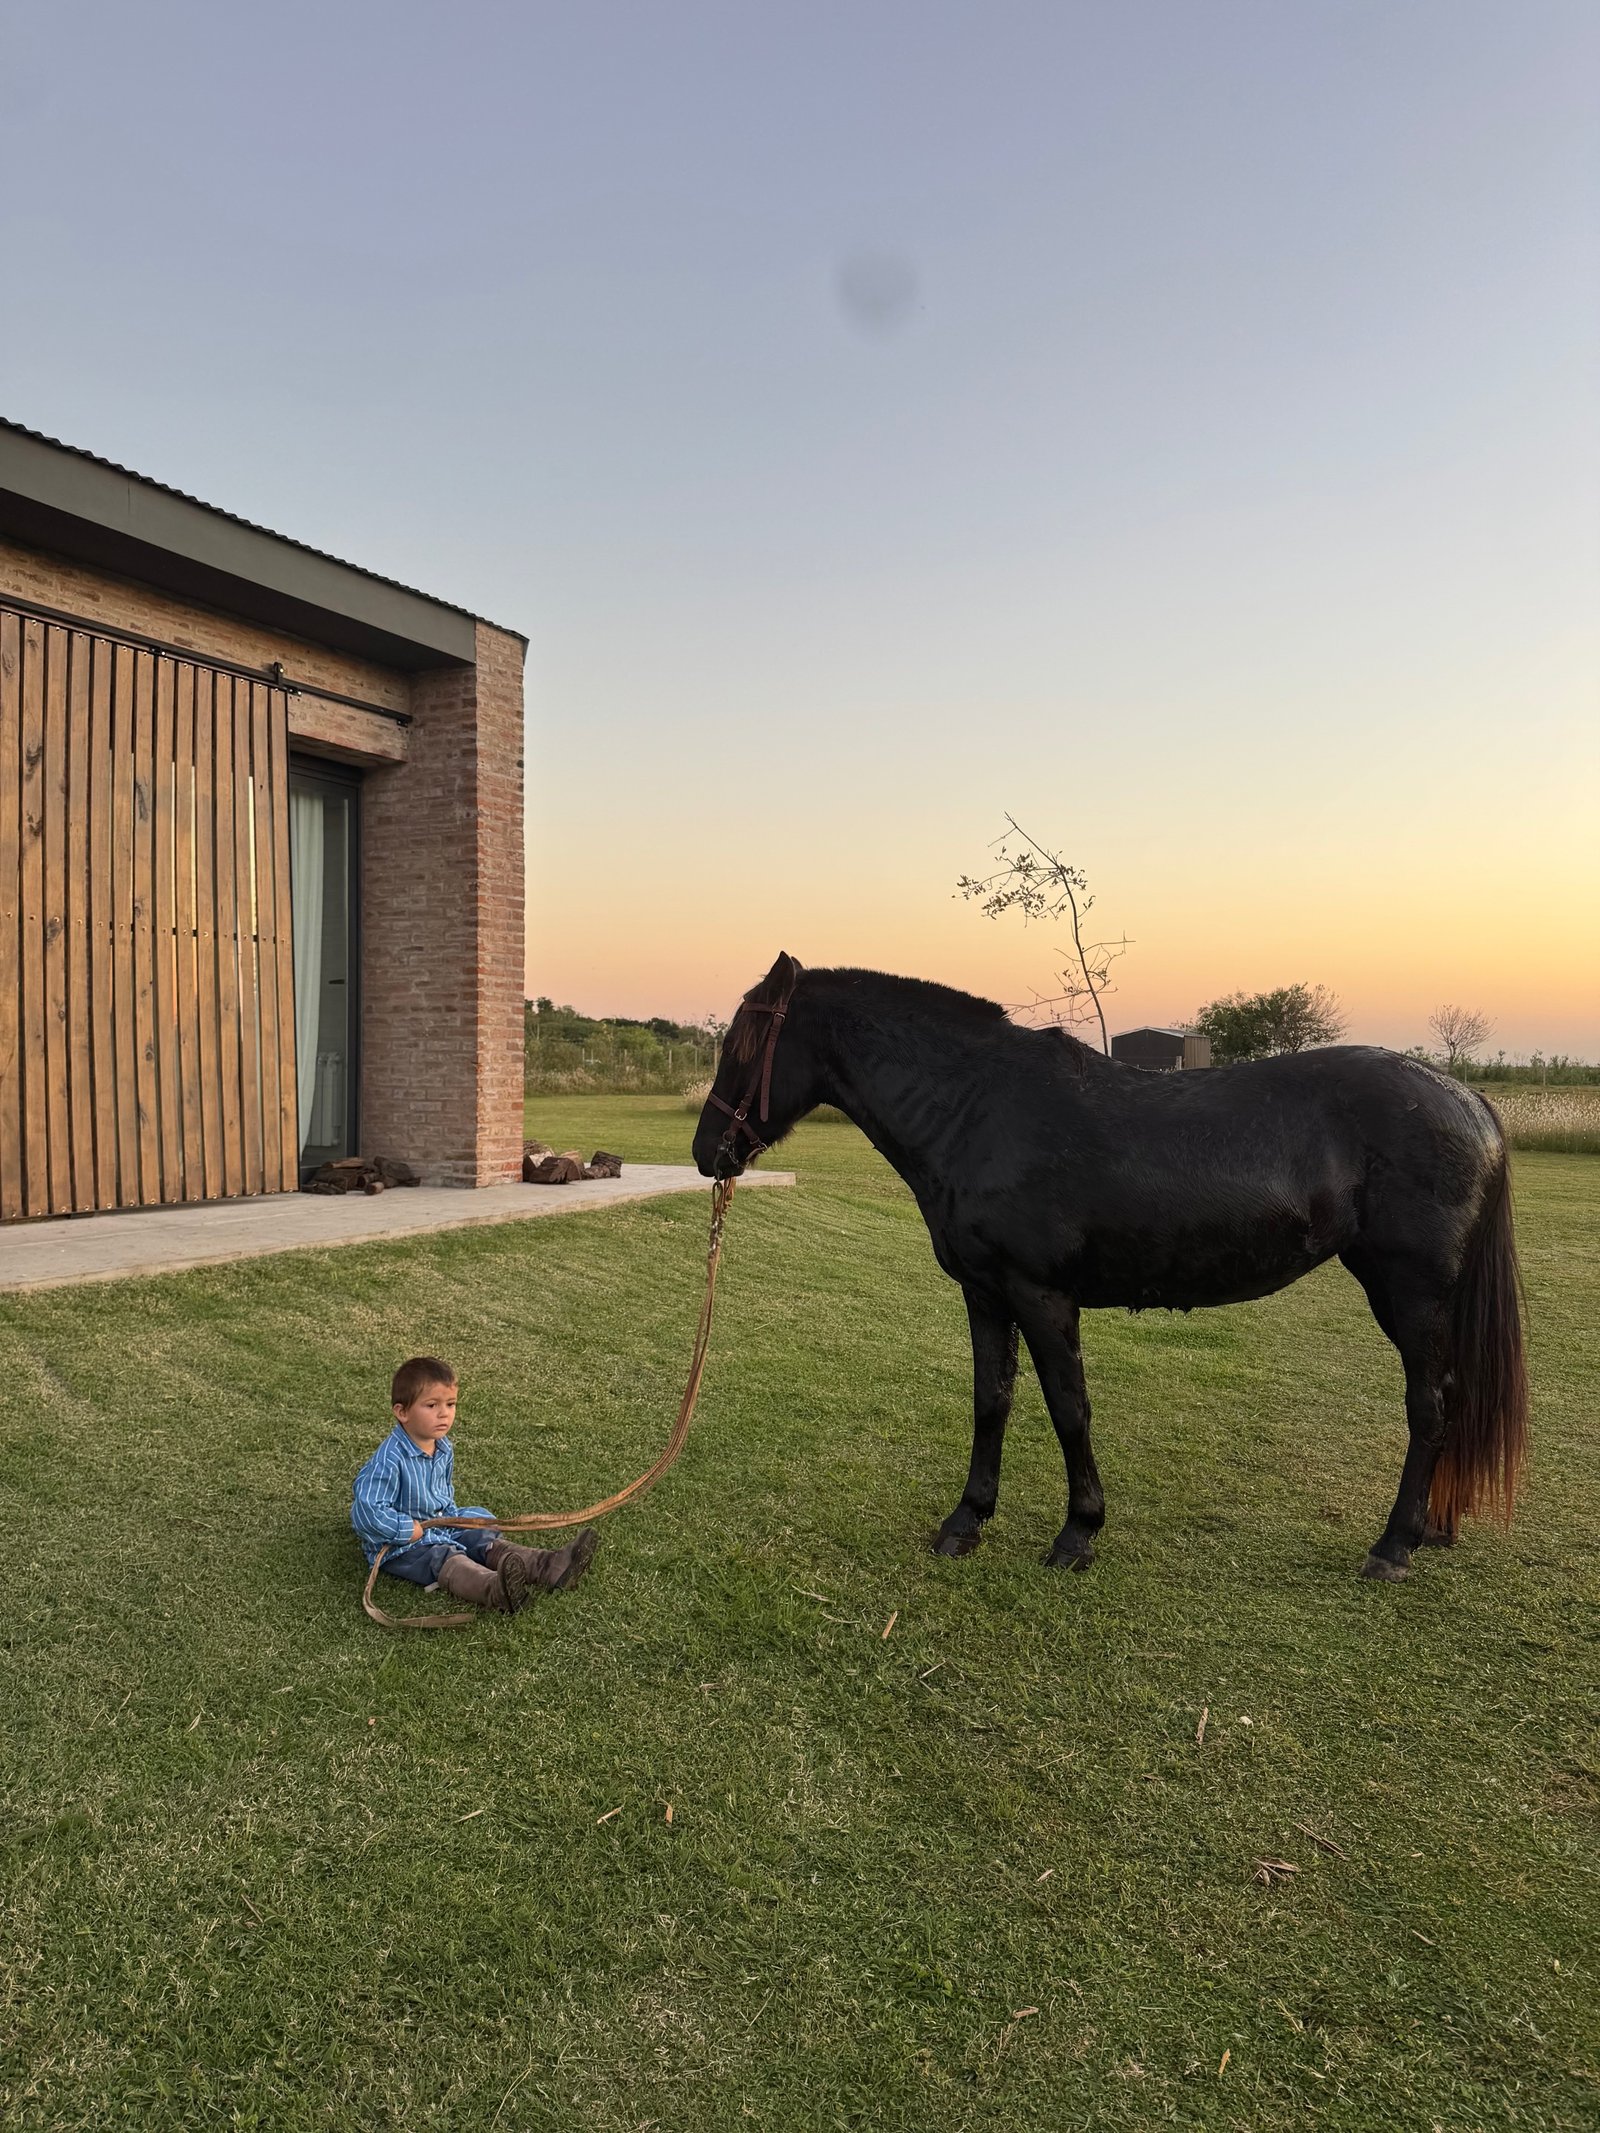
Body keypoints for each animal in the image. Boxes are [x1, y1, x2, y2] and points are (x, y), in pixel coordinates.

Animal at [692, 953, 1527, 1582]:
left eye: (743, 1044)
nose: (708, 1153)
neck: (977, 1108)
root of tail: (1469, 1101)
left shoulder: (1042, 1294)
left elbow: (1069, 1408)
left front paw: (1078, 1533)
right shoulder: (986, 1295)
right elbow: (991, 1401)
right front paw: (966, 1520)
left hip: (1410, 1292)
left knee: (1430, 1404)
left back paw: (1394, 1544)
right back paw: (1433, 1526)